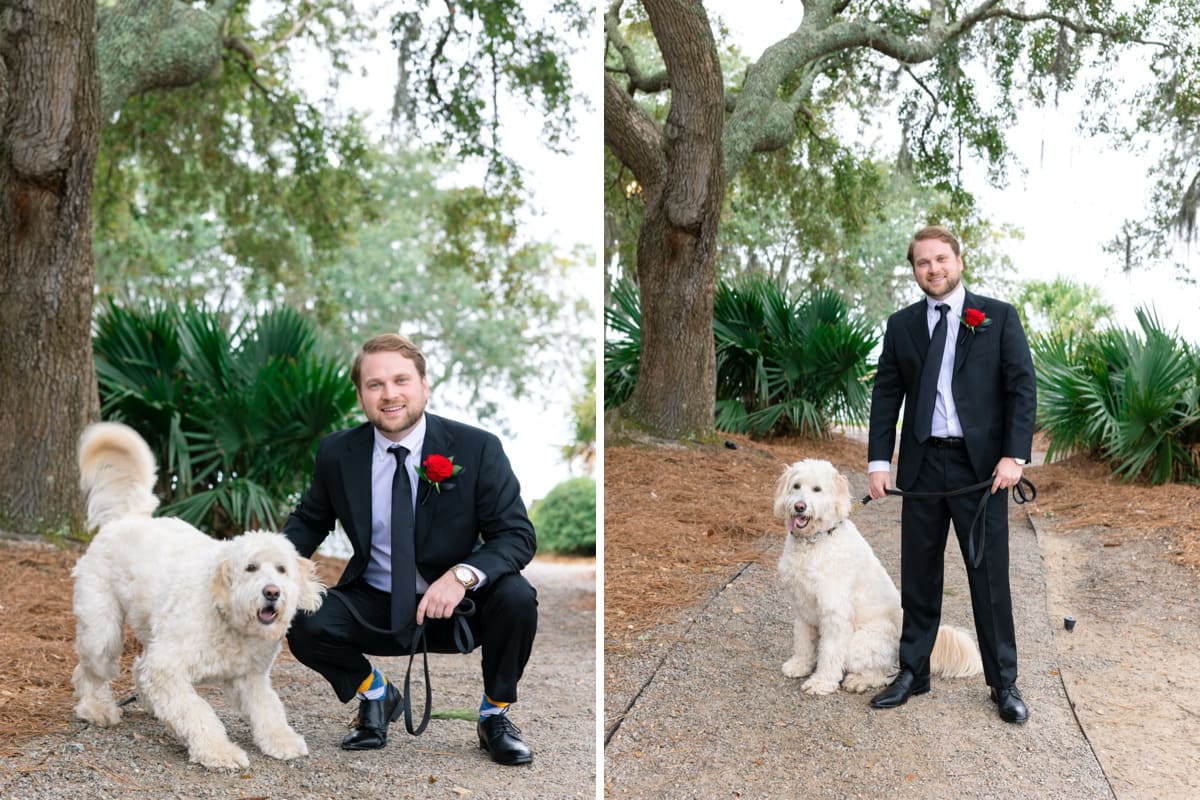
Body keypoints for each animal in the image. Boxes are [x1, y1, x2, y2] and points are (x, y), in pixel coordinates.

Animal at [70, 424, 324, 767]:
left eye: (282, 569)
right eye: (251, 567)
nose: (272, 592)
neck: (226, 615)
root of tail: (128, 518)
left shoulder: (251, 678)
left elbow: (269, 709)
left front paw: (281, 740)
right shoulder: (168, 669)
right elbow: (198, 712)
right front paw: (219, 751)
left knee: (138, 666)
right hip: (101, 631)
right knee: (91, 671)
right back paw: (96, 708)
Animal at [772, 460, 979, 695]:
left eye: (817, 489)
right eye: (796, 486)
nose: (799, 506)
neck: (816, 540)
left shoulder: (835, 612)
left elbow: (830, 652)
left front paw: (821, 682)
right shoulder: (803, 606)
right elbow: (803, 640)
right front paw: (800, 665)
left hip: (863, 641)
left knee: (885, 673)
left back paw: (859, 681)